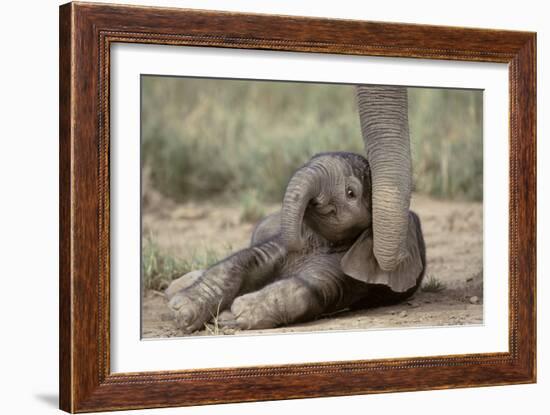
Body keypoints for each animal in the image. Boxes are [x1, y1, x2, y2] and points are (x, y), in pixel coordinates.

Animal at [167, 151, 426, 334]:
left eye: (350, 193)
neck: (320, 241)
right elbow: (242, 262)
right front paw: (181, 310)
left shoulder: (346, 274)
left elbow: (306, 289)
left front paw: (233, 316)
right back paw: (174, 289)